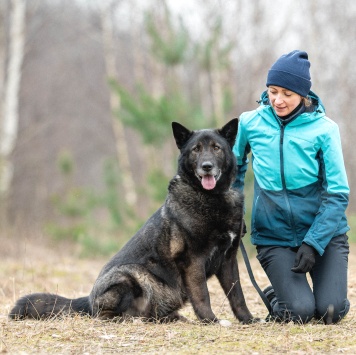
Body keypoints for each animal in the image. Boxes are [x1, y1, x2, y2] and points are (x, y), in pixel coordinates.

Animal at [9, 118, 254, 326]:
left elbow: (238, 295)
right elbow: (203, 295)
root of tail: (88, 300)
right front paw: (211, 321)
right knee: (107, 316)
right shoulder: (193, 261)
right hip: (129, 276)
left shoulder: (228, 260)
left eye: (216, 148)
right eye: (196, 149)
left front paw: (248, 319)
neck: (212, 198)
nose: (207, 166)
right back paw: (133, 319)